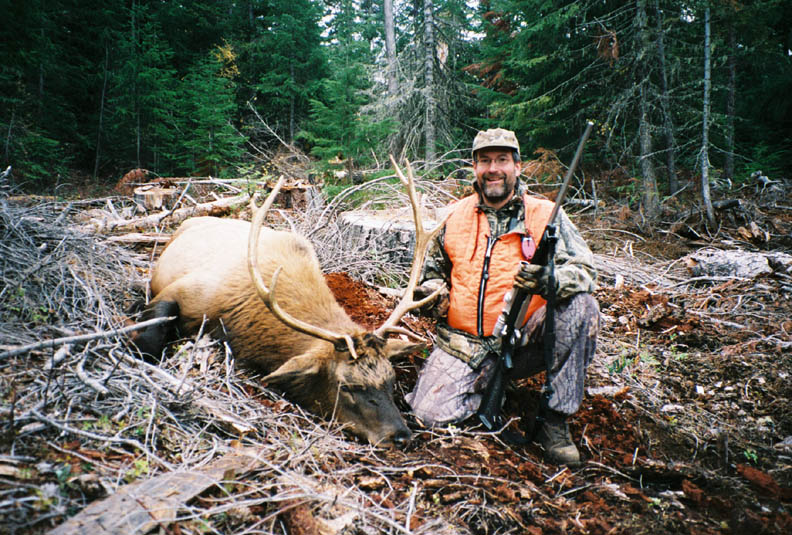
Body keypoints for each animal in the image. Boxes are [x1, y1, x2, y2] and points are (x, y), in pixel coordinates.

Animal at [133, 162, 448, 448]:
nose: (402, 437)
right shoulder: (181, 291)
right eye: (347, 386)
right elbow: (149, 340)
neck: (240, 323)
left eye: (390, 380)